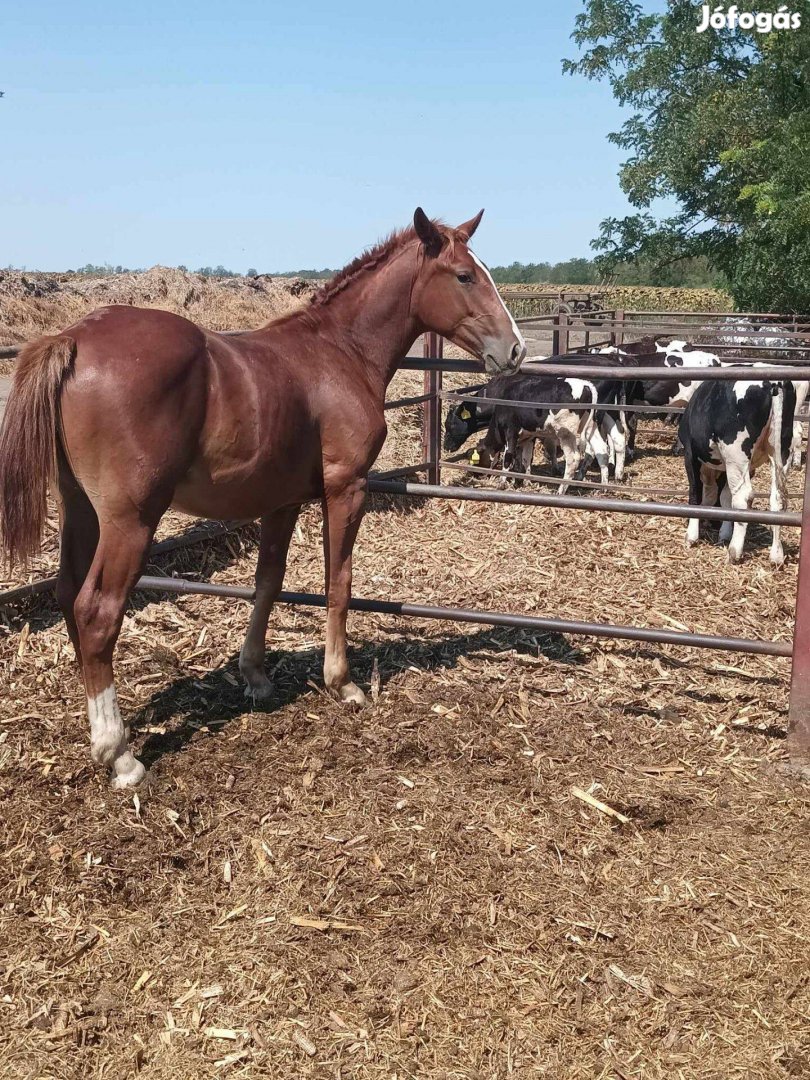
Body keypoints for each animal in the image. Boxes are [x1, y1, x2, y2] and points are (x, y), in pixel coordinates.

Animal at [0, 208, 527, 786]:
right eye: (464, 276)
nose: (516, 350)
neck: (340, 352)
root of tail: (72, 338)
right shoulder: (346, 488)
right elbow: (338, 582)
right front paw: (342, 681)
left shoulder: (282, 500)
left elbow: (267, 583)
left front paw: (254, 674)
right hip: (130, 521)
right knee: (97, 612)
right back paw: (119, 753)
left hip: (80, 511)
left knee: (69, 594)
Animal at [678, 375, 799, 565]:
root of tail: (774, 382)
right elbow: (724, 497)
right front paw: (723, 532)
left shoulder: (690, 454)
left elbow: (696, 492)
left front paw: (692, 535)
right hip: (781, 450)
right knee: (778, 498)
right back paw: (777, 555)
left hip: (736, 453)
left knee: (743, 496)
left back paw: (735, 551)